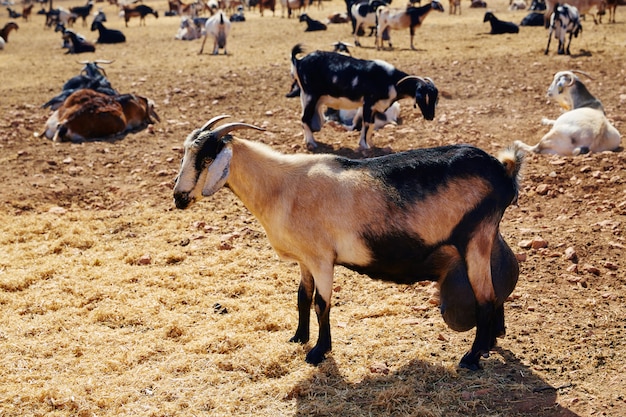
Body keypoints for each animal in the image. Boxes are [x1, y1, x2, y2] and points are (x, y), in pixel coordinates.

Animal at [173, 114, 524, 370]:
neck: (281, 187)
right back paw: (492, 341)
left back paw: (471, 358)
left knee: (485, 297)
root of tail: (503, 170)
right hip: (485, 238)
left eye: (206, 158)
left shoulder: (321, 258)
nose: (179, 197)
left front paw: (318, 352)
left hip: (475, 237)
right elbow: (302, 297)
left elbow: (321, 303)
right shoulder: (305, 260)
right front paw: (298, 338)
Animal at [290, 43, 436, 150]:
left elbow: (371, 125)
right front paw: (364, 146)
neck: (391, 81)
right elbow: (366, 124)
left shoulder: (375, 107)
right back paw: (311, 143)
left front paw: (370, 144)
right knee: (304, 118)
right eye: (423, 97)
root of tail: (299, 61)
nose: (430, 116)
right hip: (310, 96)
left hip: (309, 98)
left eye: (435, 99)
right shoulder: (368, 102)